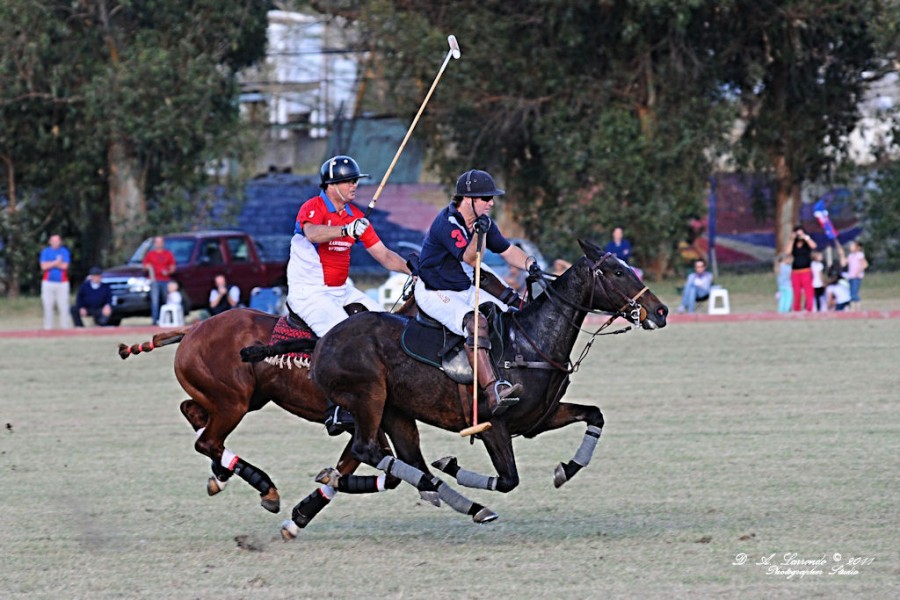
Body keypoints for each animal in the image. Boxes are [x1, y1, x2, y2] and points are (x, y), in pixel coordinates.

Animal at [300, 240, 668, 528]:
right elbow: (508, 479)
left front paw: (566, 470)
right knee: (368, 450)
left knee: (407, 460)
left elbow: (595, 415)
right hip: (368, 398)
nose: (661, 311)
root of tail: (324, 341)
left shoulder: (539, 418)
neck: (530, 342)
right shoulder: (493, 424)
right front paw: (454, 465)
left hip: (396, 411)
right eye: (617, 272)